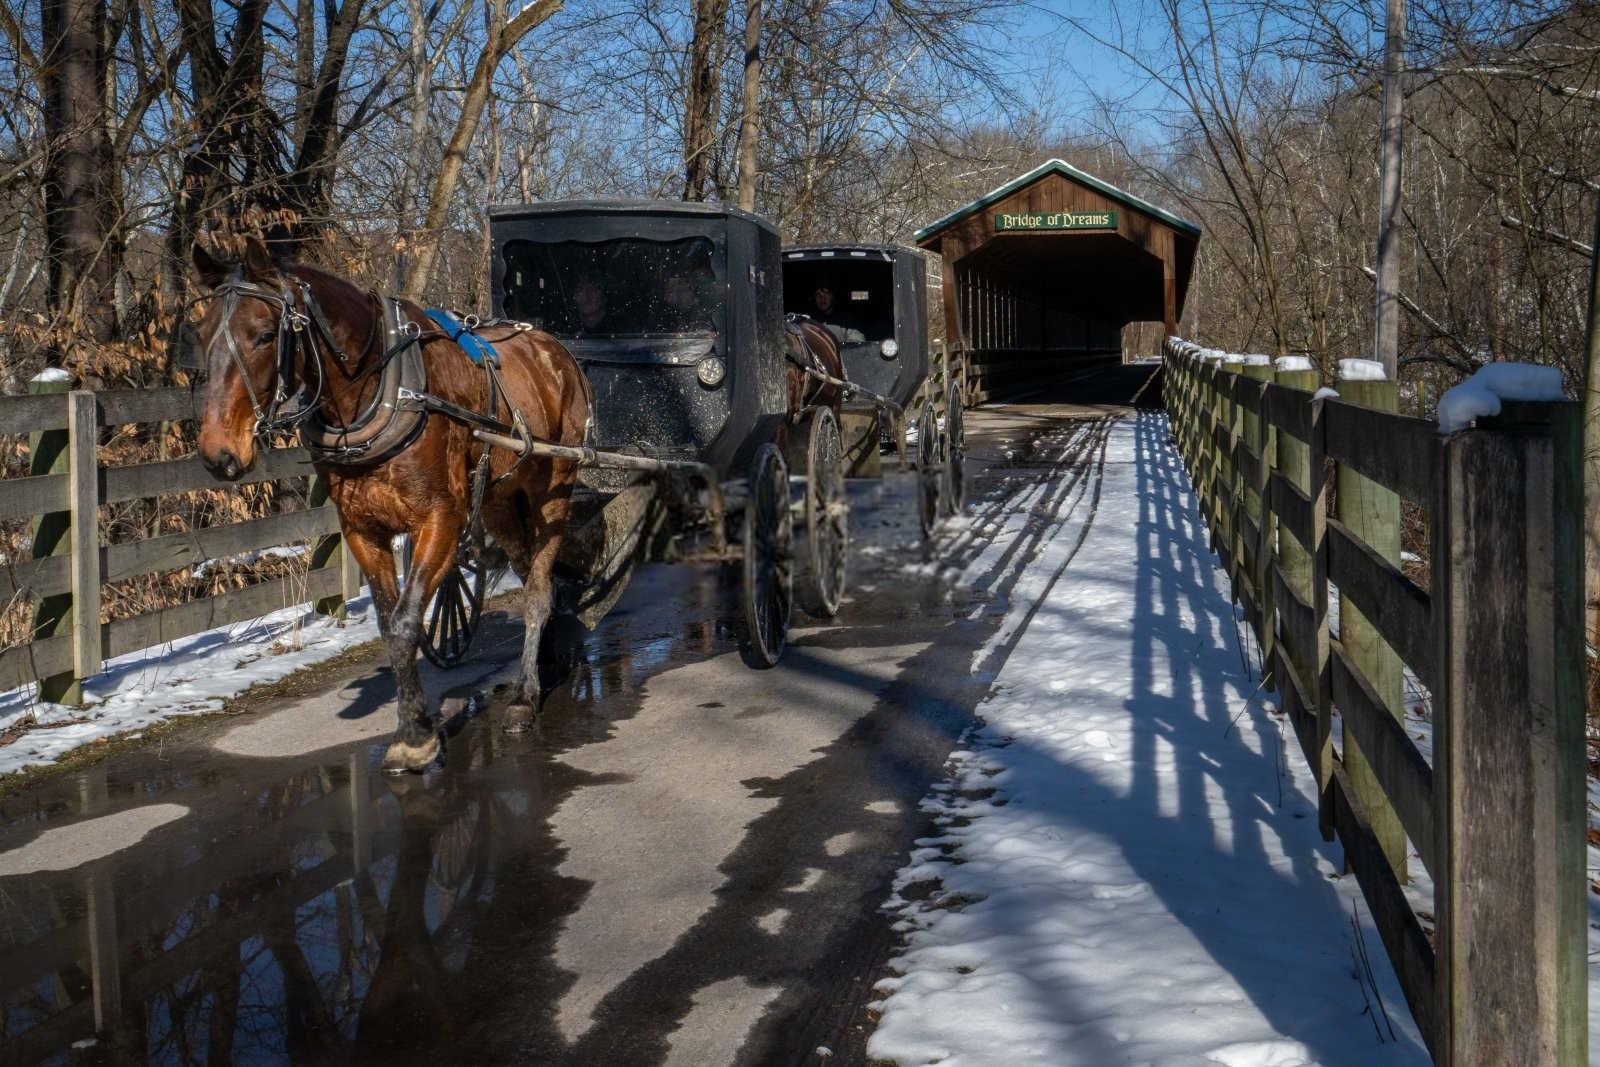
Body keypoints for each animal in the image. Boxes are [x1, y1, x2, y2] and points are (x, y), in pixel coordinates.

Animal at [192, 235, 595, 767]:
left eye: (261, 335)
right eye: (201, 334)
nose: (218, 454)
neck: (381, 394)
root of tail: (555, 350)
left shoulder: (441, 518)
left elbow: (406, 621)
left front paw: (416, 737)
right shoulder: (363, 529)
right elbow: (388, 625)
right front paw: (414, 724)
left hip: (555, 485)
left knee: (537, 589)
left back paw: (526, 696)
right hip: (499, 500)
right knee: (530, 573)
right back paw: (542, 657)